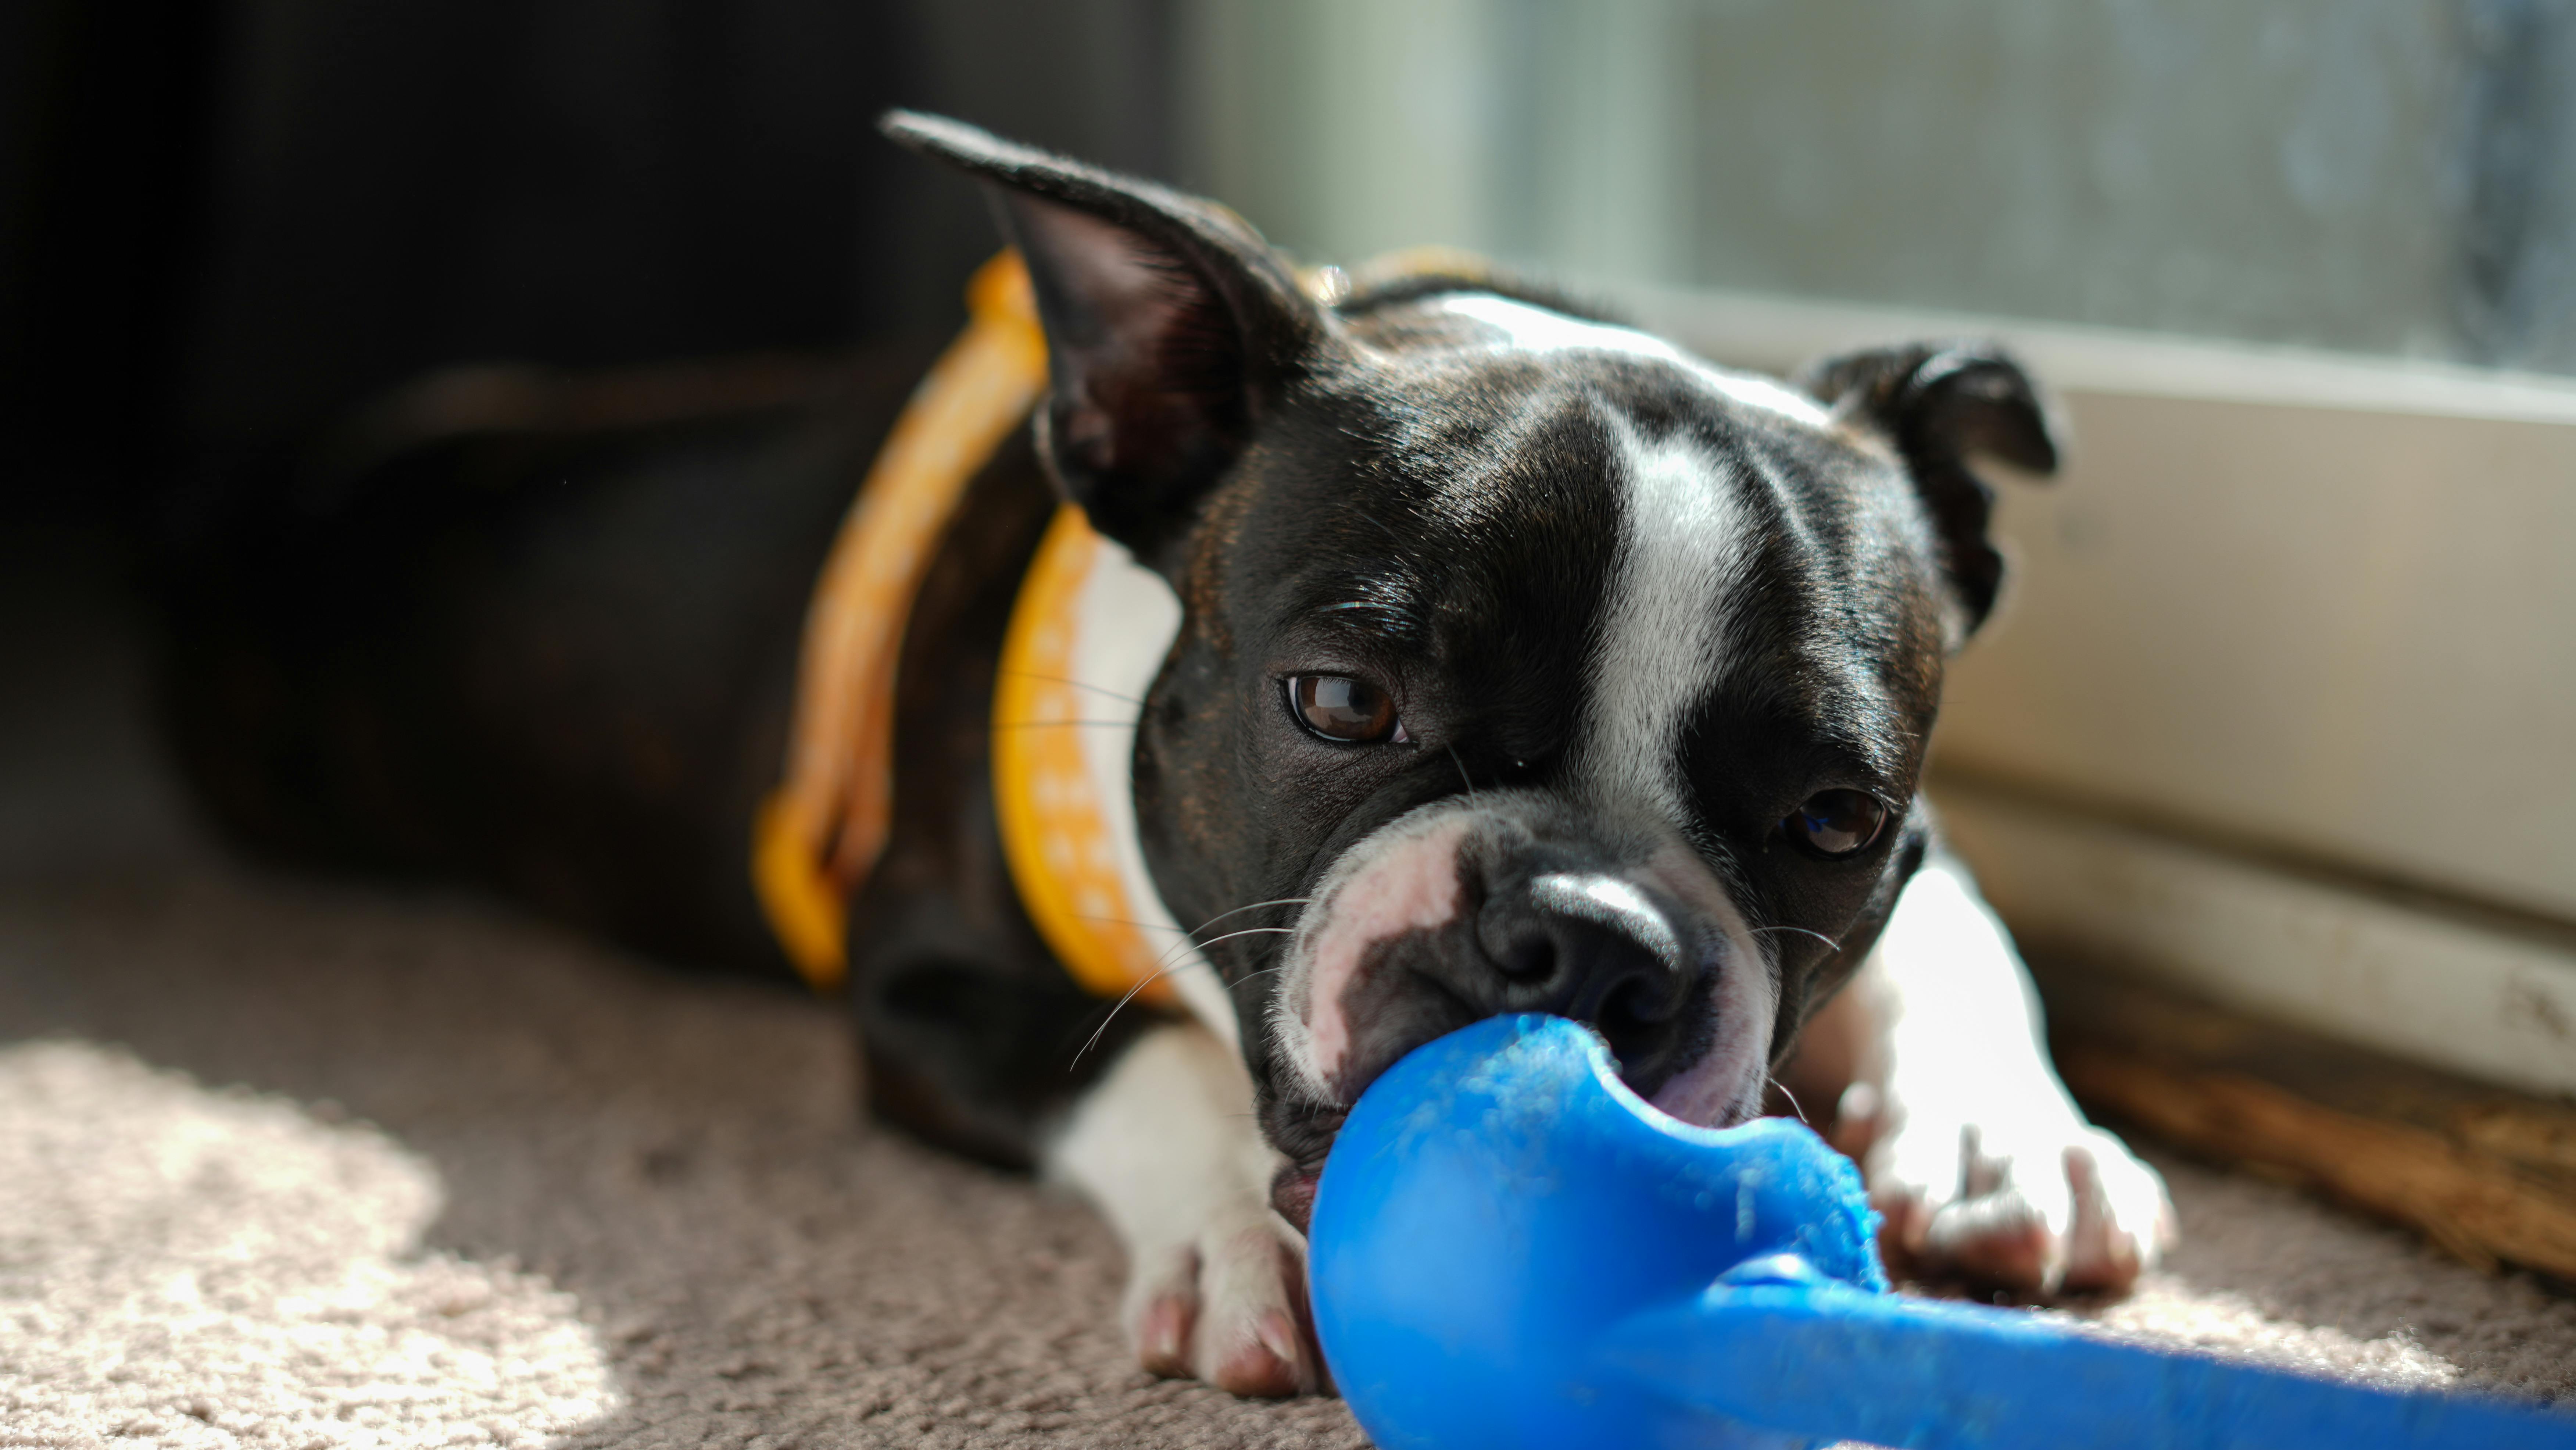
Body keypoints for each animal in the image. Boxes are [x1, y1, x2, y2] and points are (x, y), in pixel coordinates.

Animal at [161, 116, 2174, 1411]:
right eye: (1340, 703)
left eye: (1832, 821)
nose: (1587, 936)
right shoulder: (924, 988)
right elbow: (1144, 1059)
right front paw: (1238, 1241)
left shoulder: (1925, 858)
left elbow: (1964, 939)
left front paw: (2009, 1131)